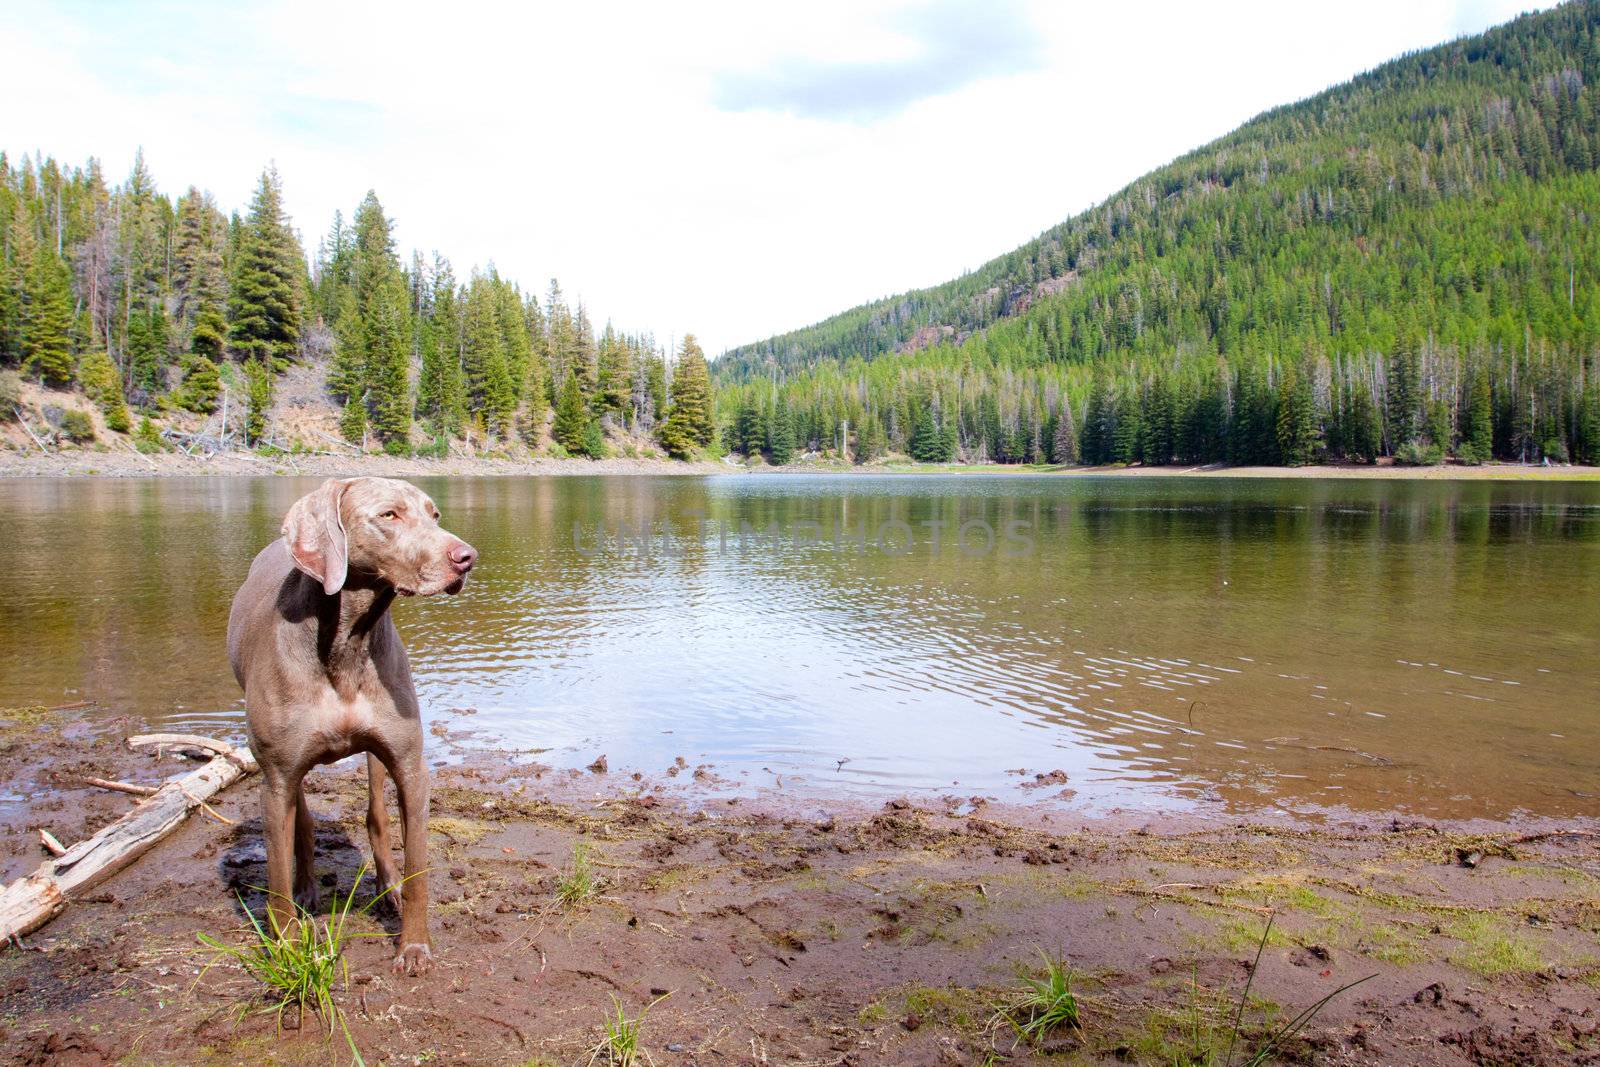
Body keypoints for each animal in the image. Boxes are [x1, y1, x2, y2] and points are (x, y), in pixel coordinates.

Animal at [227, 476, 473, 979]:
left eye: (434, 514)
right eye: (389, 515)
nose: (466, 557)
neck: (347, 641)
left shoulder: (409, 763)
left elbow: (418, 866)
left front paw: (413, 947)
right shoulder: (276, 775)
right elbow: (276, 878)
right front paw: (287, 949)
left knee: (376, 814)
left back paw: (387, 883)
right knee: (300, 823)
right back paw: (306, 891)